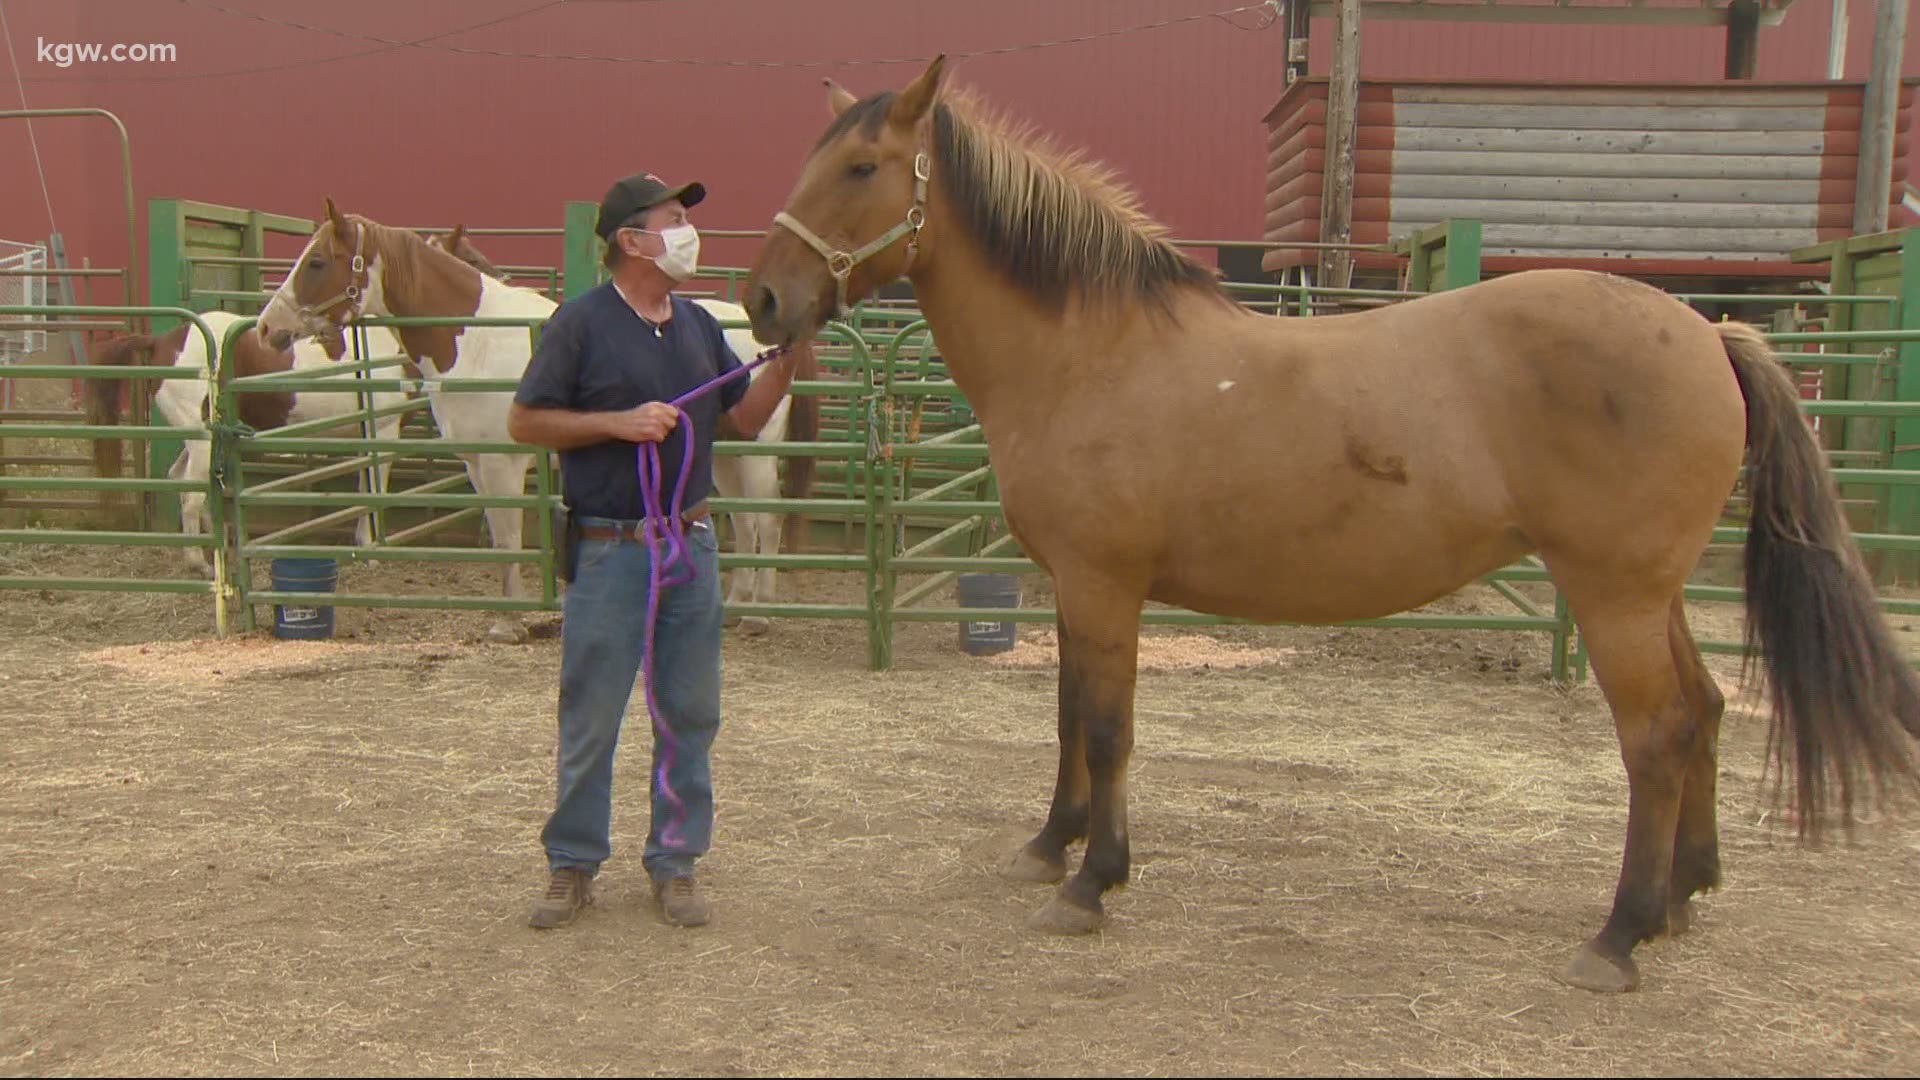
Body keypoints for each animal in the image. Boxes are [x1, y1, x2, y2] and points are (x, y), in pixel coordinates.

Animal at [741, 54, 1920, 991]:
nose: (760, 302)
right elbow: (1072, 716)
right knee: (1709, 708)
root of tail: (1709, 330)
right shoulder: (1077, 590)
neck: (1093, 349)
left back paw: (1619, 936)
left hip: (1615, 595)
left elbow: (1110, 729)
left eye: (862, 170)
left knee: (1660, 736)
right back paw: (1681, 898)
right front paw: (1052, 842)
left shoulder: (1105, 584)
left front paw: (1091, 882)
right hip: (1651, 591)